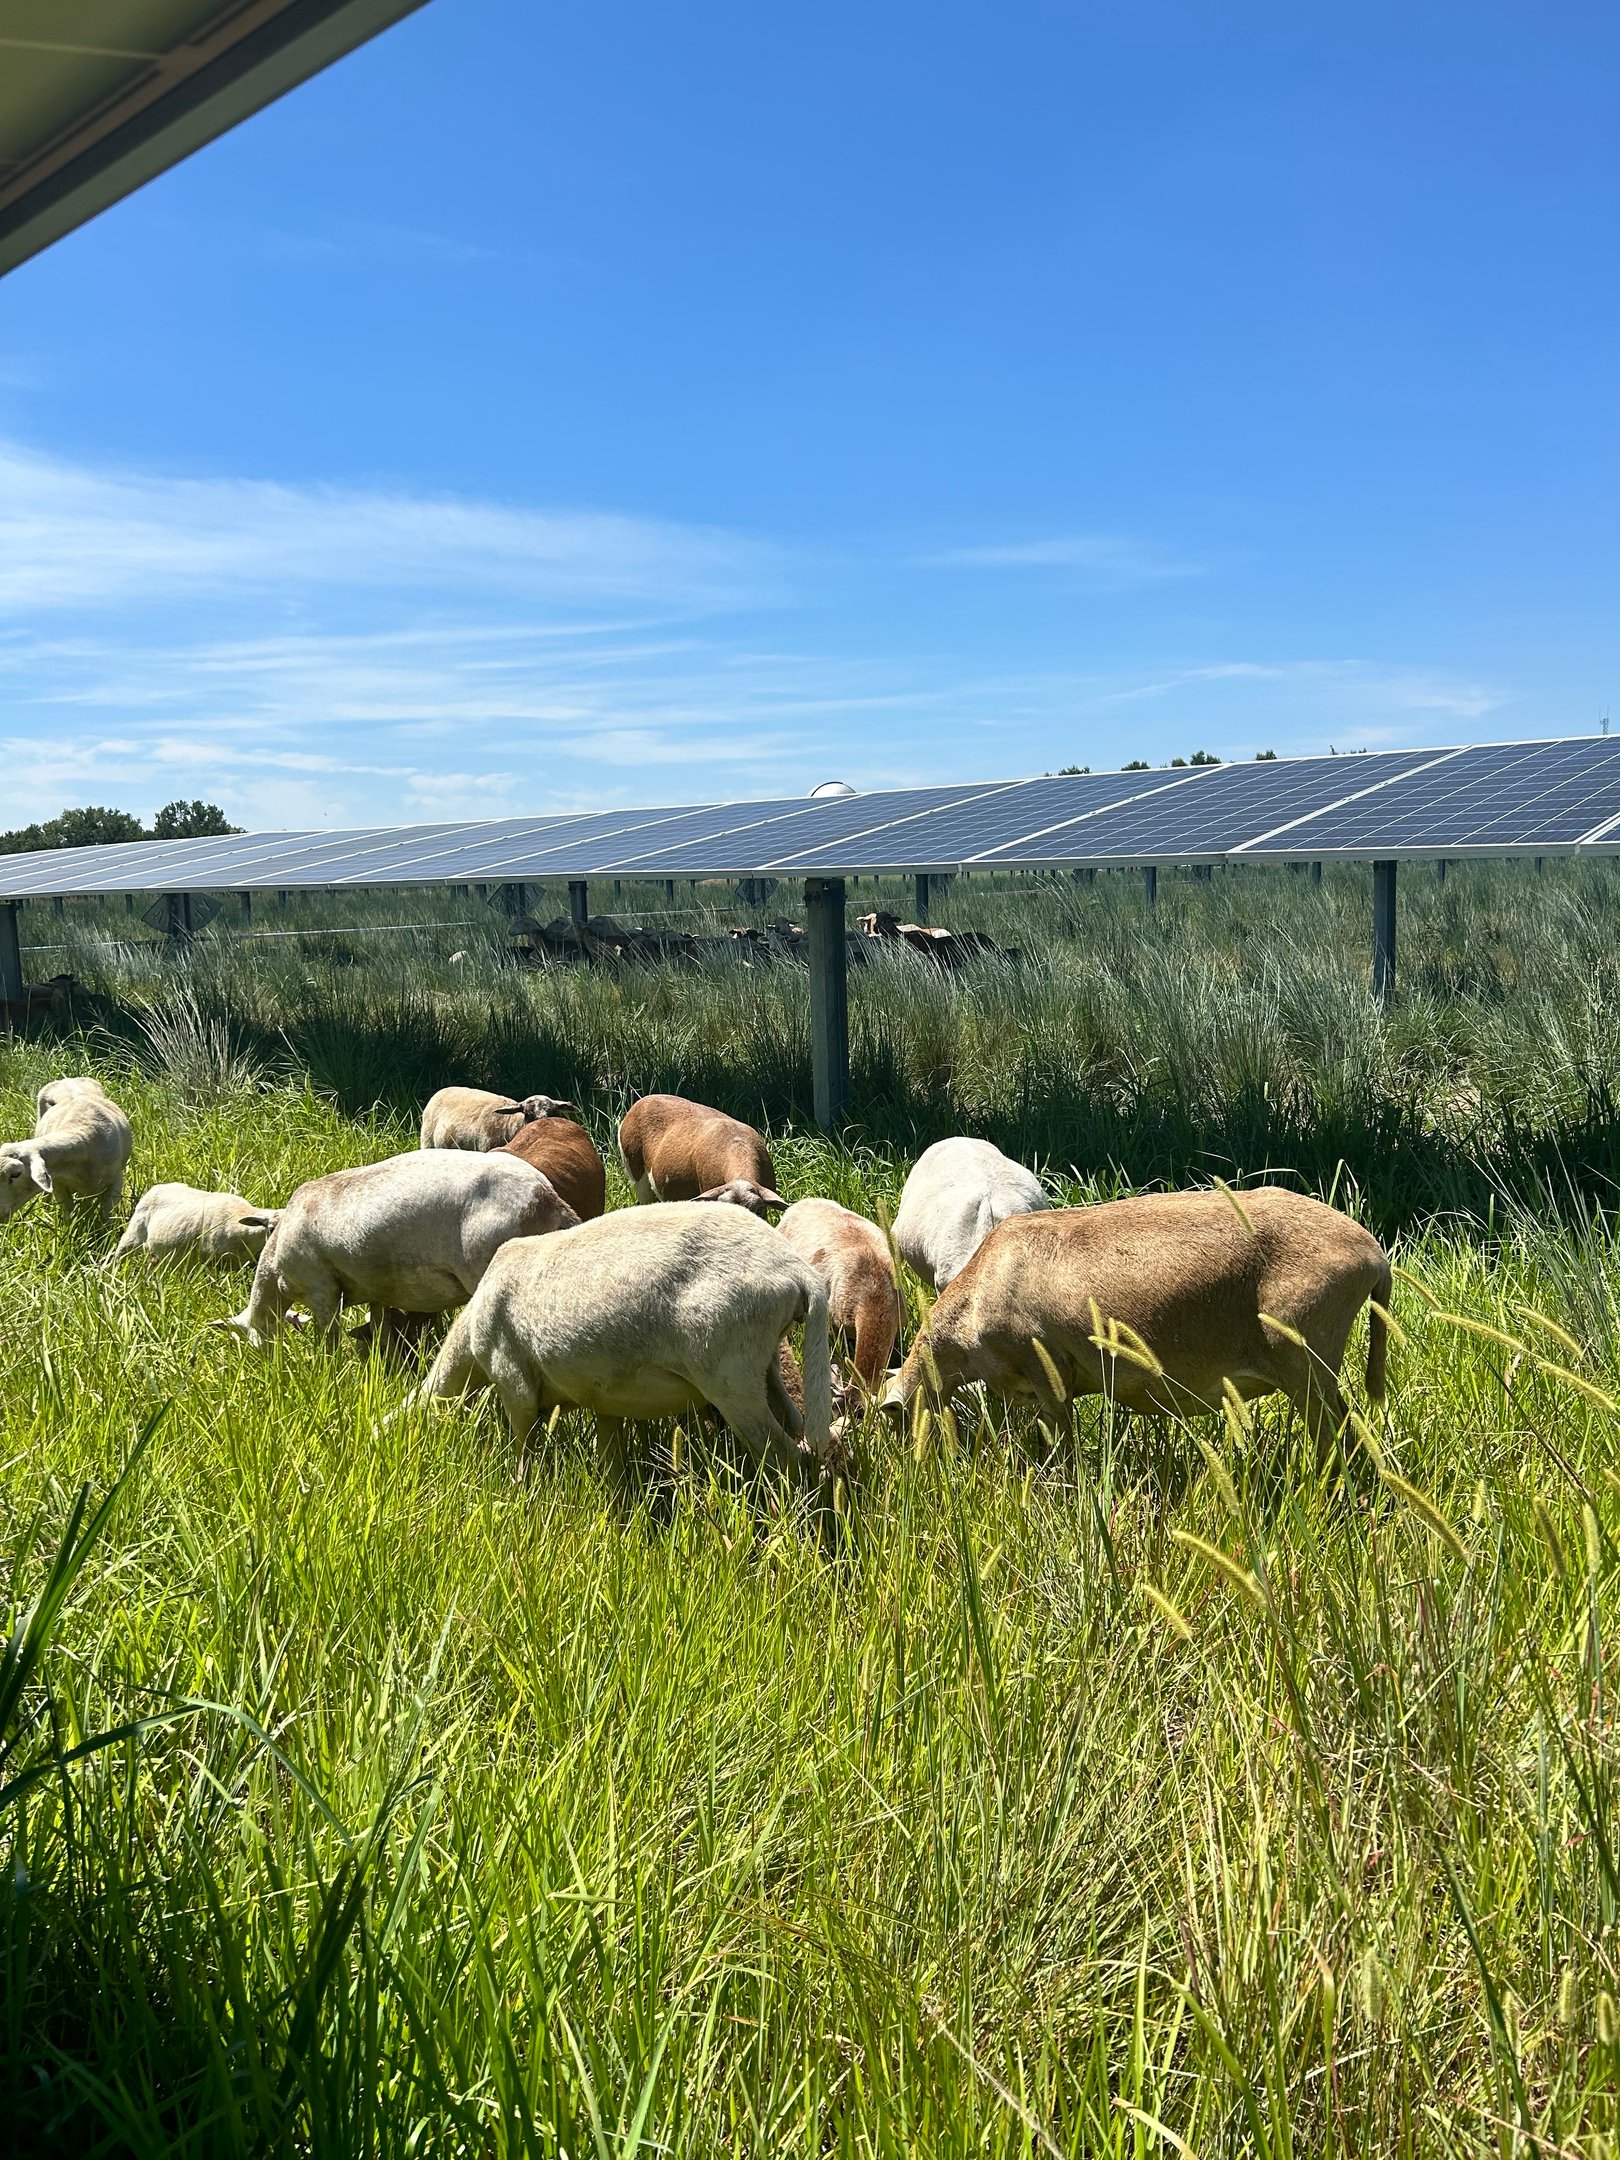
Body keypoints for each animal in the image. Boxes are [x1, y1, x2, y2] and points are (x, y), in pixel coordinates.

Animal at [0, 1076, 133, 1223]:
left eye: (15, 1174)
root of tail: (68, 1079)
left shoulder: (116, 1180)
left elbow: (106, 1215)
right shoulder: (58, 1183)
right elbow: (69, 1213)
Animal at [401, 1202, 831, 1483]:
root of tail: (796, 1271)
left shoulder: (513, 1381)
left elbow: (524, 1448)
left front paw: (523, 1494)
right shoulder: (602, 1397)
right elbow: (611, 1461)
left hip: (730, 1376)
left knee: (785, 1456)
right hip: (764, 1363)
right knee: (798, 1432)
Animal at [883, 1187, 1391, 1467]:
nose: (911, 1466)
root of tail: (1374, 1253)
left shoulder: (1046, 1368)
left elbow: (1062, 1438)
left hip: (1307, 1361)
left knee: (1340, 1437)